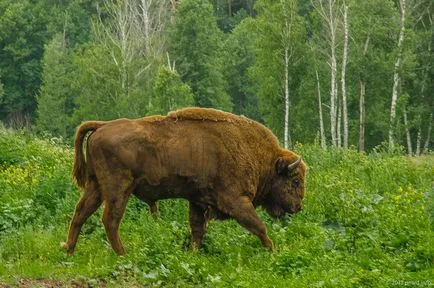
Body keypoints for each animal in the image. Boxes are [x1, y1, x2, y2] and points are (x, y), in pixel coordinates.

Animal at [61, 107, 306, 254]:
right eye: (294, 181)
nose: (298, 207)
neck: (260, 156)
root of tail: (102, 126)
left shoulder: (197, 201)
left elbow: (197, 229)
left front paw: (193, 253)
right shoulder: (236, 201)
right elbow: (258, 226)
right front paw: (272, 251)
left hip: (95, 186)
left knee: (80, 213)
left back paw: (69, 249)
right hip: (118, 189)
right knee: (110, 220)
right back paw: (123, 253)